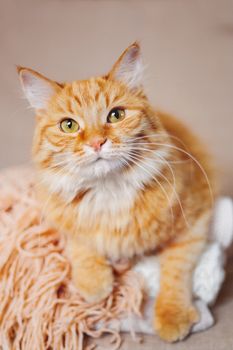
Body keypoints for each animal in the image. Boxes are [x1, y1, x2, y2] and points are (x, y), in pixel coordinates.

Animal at [17, 43, 215, 342]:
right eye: (69, 125)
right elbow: (80, 244)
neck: (108, 190)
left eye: (116, 115)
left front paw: (172, 316)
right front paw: (95, 284)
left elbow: (175, 270)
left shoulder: (194, 220)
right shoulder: (62, 220)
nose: (97, 142)